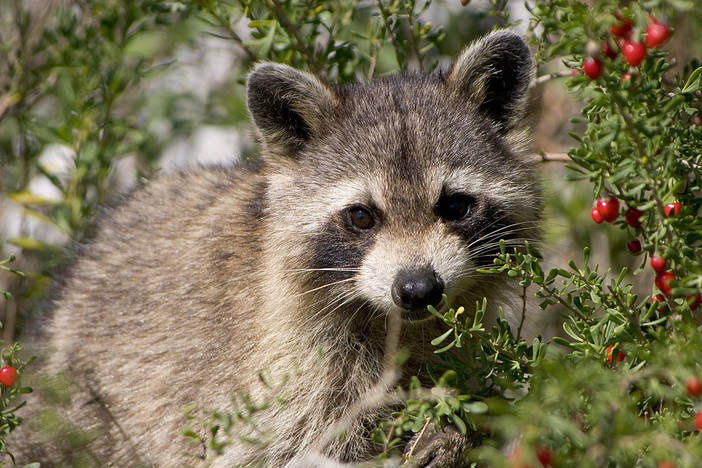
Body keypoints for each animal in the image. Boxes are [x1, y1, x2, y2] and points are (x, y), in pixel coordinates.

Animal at [13, 31, 540, 466]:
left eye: (455, 205)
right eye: (361, 216)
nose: (417, 289)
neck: (393, 325)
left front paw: (457, 435)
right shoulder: (272, 381)